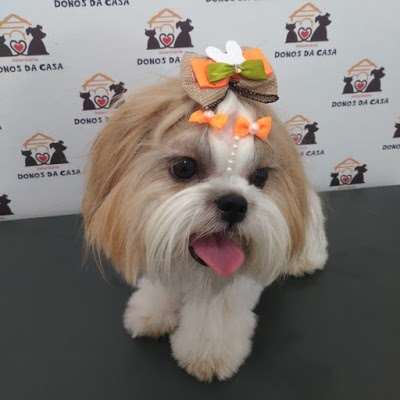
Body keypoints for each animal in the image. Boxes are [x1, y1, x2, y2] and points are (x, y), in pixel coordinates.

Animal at [82, 42, 328, 382]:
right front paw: (152, 313)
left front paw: (208, 355)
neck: (194, 272)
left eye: (260, 177)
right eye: (184, 167)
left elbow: (214, 320)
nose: (234, 203)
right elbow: (161, 288)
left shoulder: (226, 290)